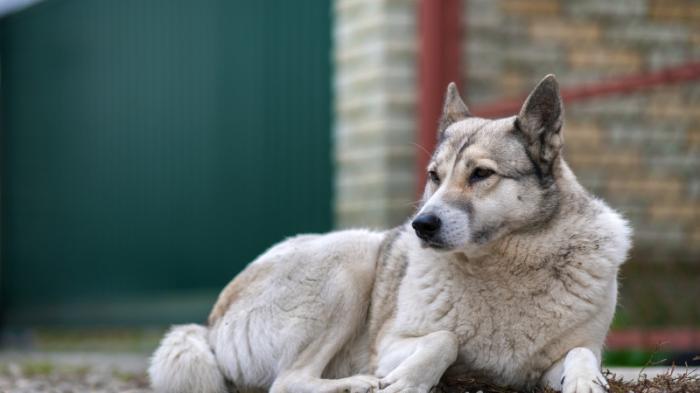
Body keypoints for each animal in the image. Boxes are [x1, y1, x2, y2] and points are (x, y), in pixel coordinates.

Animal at [150, 74, 632, 392]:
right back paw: (355, 384)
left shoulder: (558, 359)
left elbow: (581, 354)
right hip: (351, 259)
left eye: (481, 174)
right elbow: (445, 339)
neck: (504, 266)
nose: (421, 225)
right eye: (435, 176)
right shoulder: (390, 343)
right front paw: (405, 382)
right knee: (288, 382)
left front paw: (586, 382)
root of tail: (210, 322)